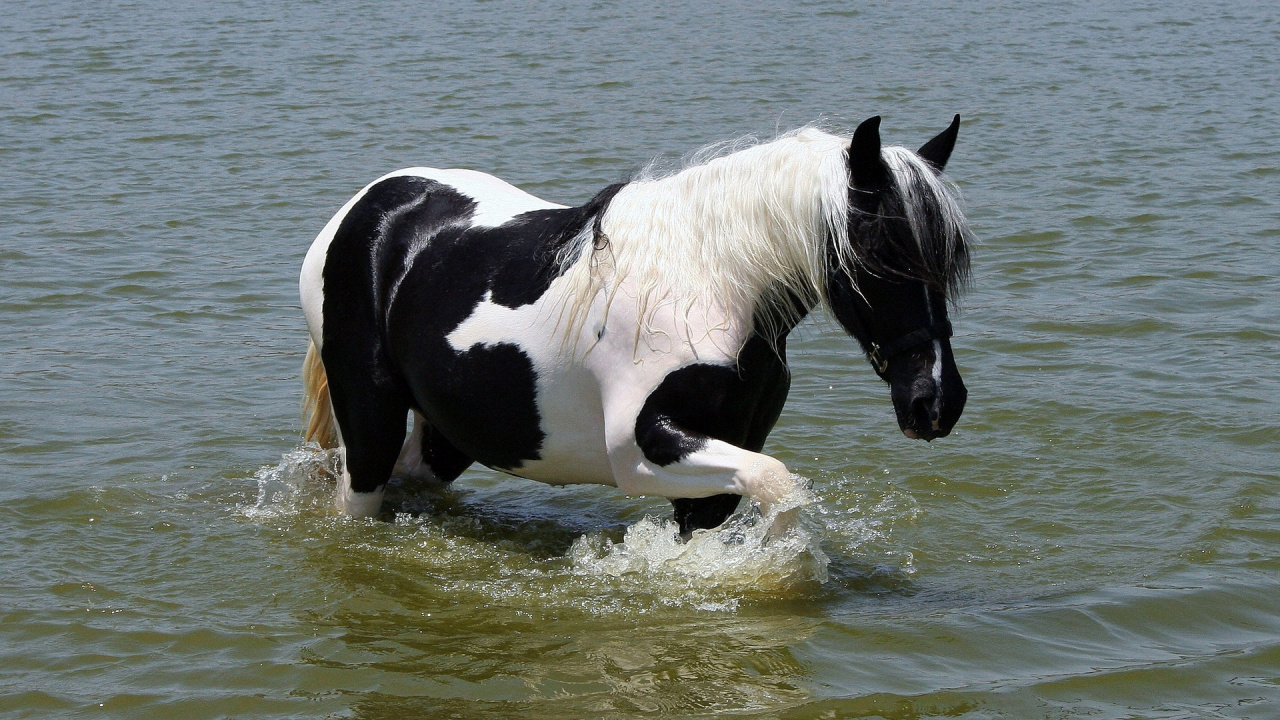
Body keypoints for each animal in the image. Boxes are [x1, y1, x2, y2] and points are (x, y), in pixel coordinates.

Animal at [299, 115, 973, 538]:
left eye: (949, 260)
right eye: (879, 252)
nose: (936, 402)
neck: (708, 283)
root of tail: (367, 208)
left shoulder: (719, 458)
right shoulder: (642, 449)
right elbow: (779, 485)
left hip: (451, 431)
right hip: (370, 425)